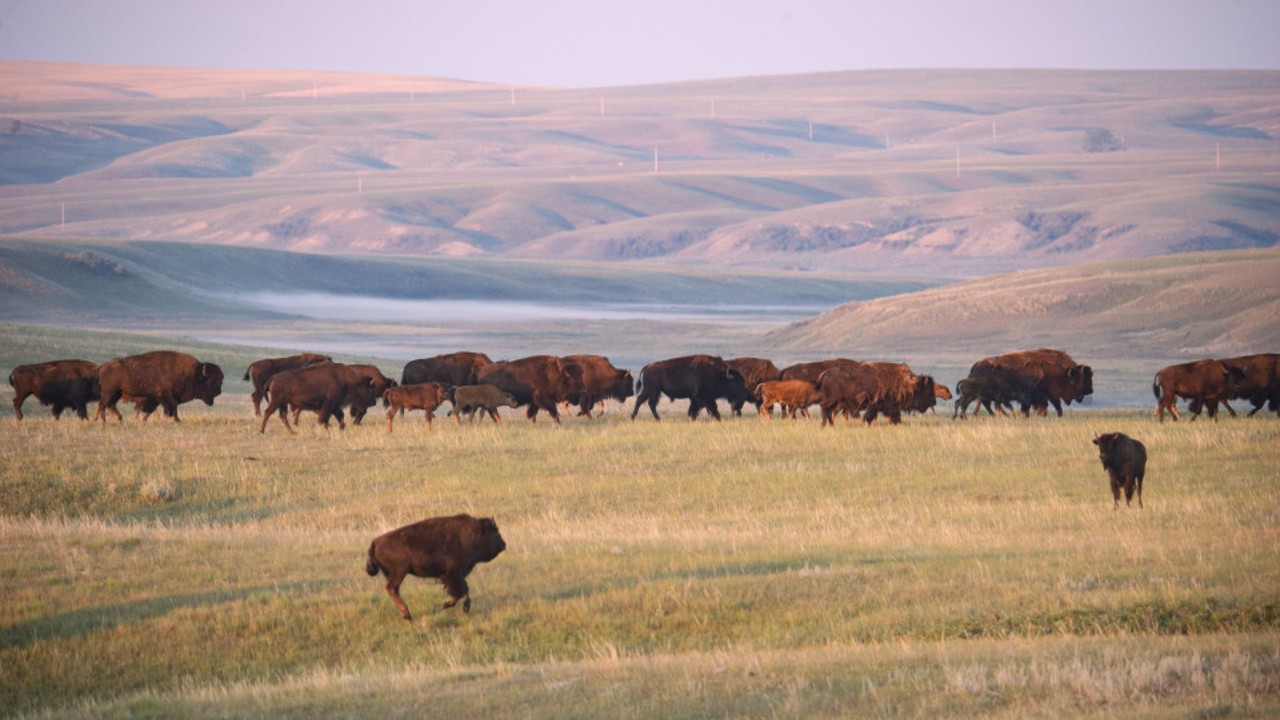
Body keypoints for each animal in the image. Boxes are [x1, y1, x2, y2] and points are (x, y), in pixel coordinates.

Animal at [93, 348, 224, 420]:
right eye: (211, 381)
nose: (219, 391)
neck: (192, 373)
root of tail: (102, 366)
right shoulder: (167, 397)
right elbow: (172, 409)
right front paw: (177, 420)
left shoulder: (156, 399)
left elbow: (150, 412)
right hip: (110, 393)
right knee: (102, 405)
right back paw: (104, 422)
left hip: (117, 394)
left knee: (110, 405)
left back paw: (120, 420)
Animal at [366, 512, 504, 620]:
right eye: (494, 532)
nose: (503, 544)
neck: (473, 534)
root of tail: (375, 542)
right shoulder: (452, 574)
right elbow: (462, 591)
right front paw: (451, 606)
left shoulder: (453, 576)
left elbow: (463, 590)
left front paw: (457, 606)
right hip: (399, 572)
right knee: (391, 588)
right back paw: (407, 615)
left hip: (394, 574)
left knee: (393, 590)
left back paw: (406, 614)